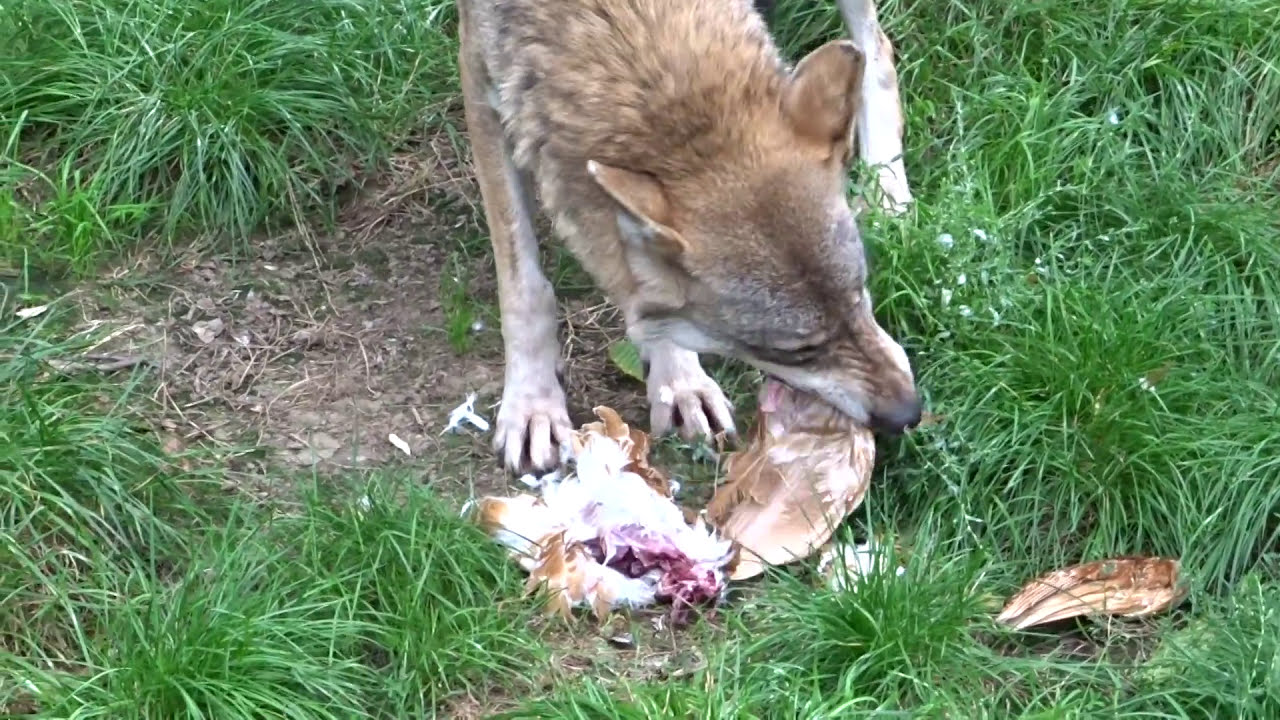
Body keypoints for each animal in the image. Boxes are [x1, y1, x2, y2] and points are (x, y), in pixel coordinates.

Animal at [458, 0, 919, 474]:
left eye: (860, 296)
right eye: (797, 351)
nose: (909, 413)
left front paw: (679, 382)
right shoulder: (480, 76)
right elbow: (524, 287)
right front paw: (533, 404)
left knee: (878, 49)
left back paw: (888, 194)